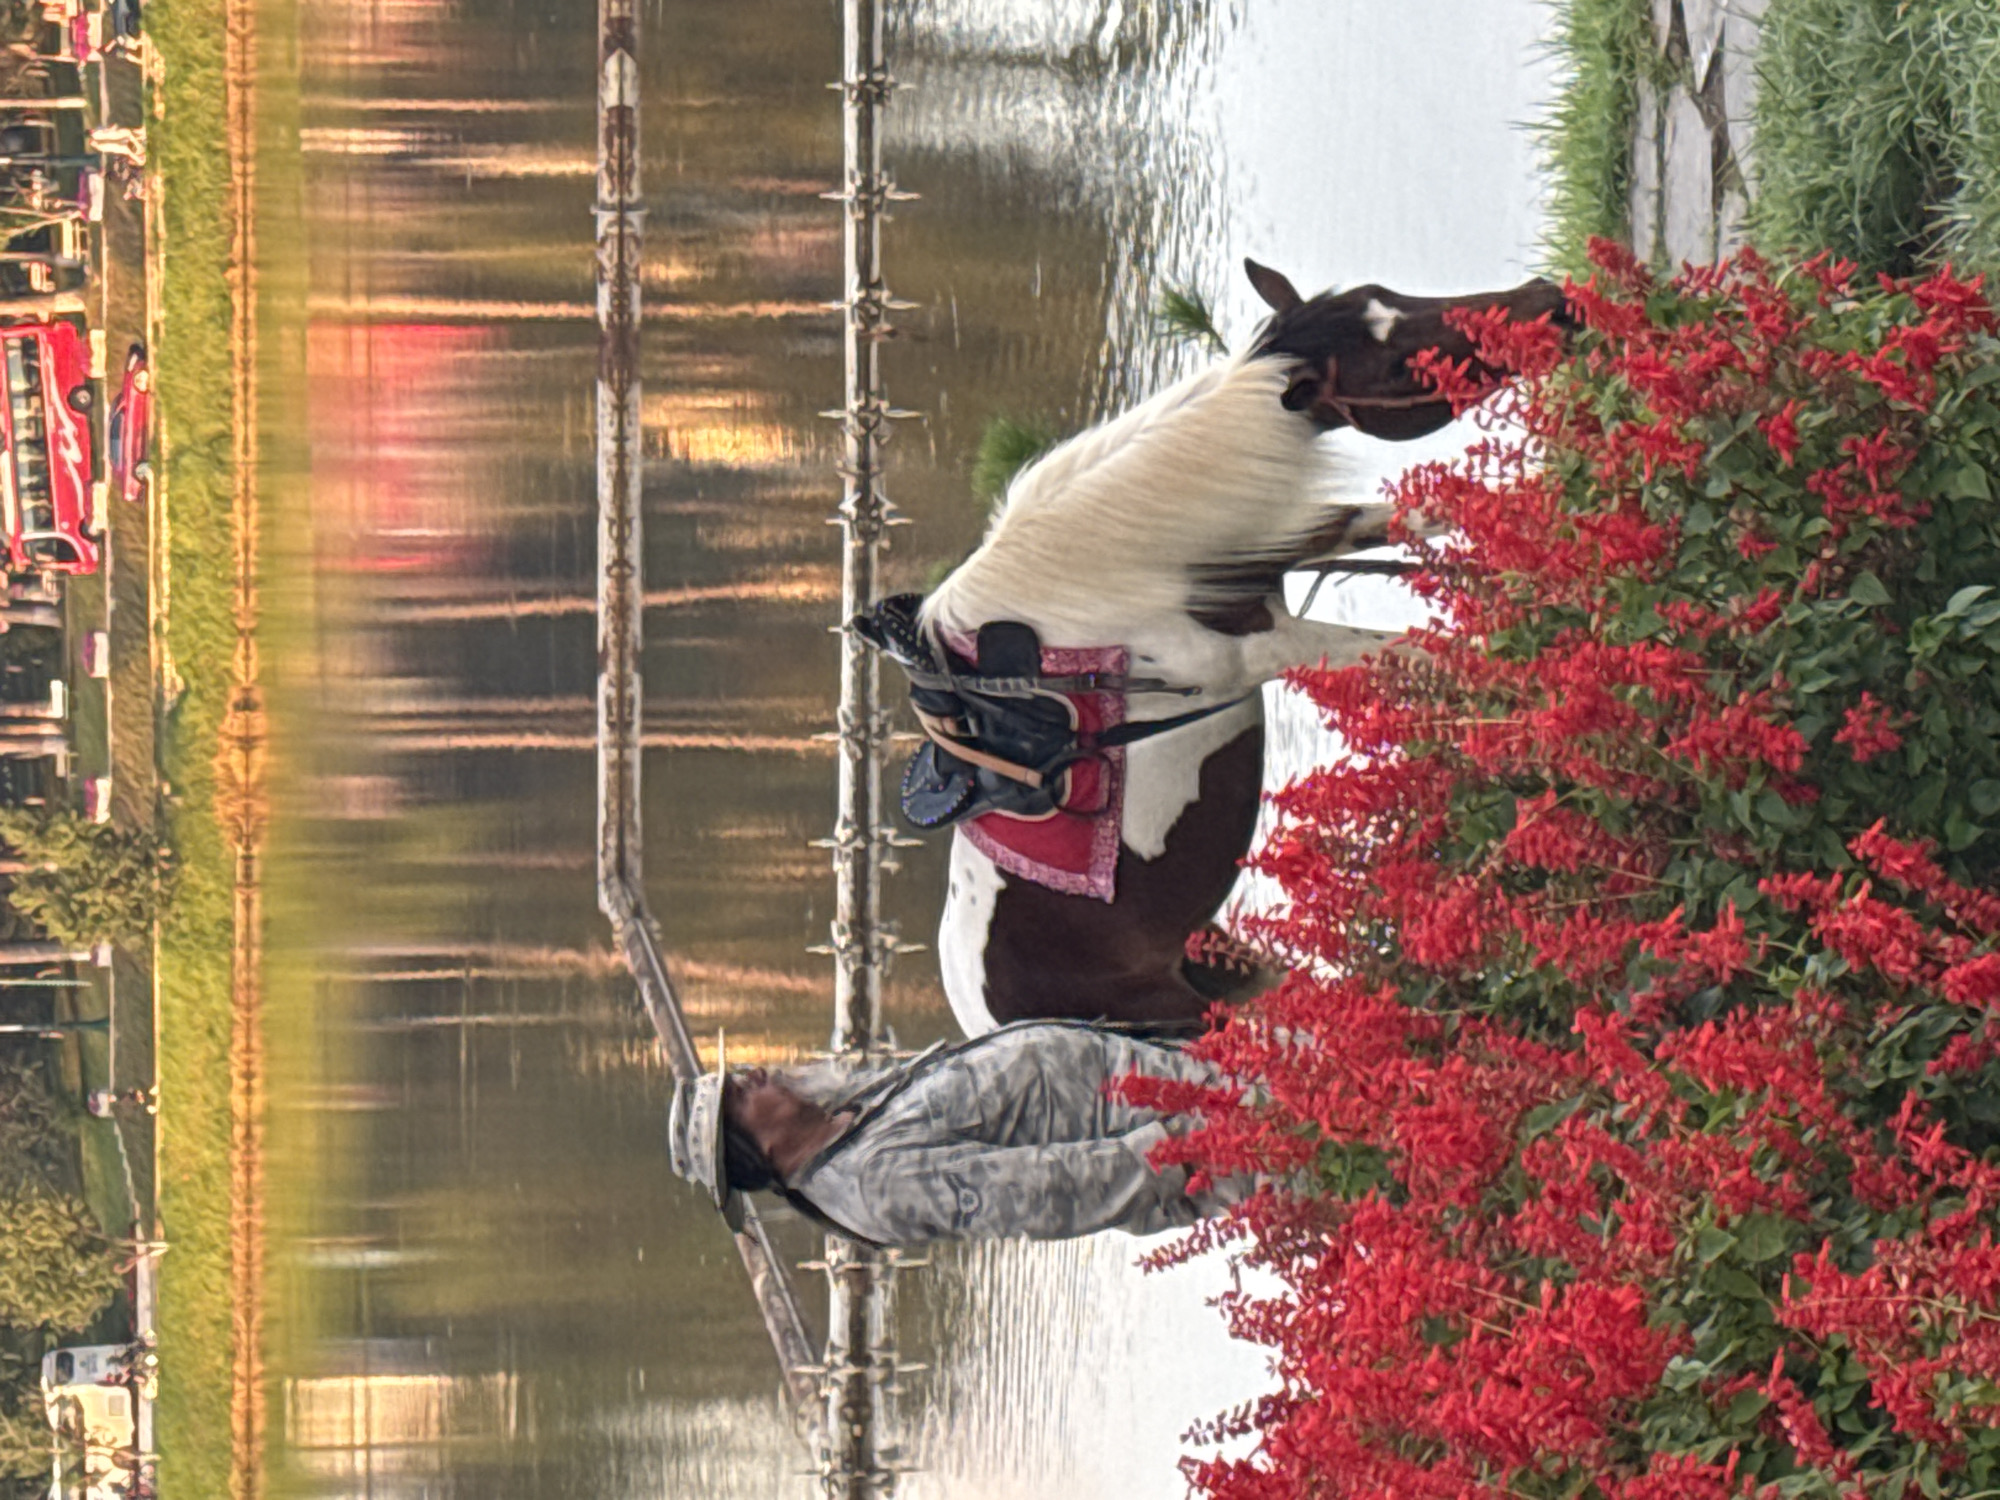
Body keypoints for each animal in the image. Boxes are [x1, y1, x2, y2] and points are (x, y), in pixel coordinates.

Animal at [904, 260, 1568, 1036]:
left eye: (1389, 298)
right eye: (1395, 363)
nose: (1550, 301)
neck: (1109, 573)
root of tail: (983, 1017)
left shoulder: (1273, 552)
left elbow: (1412, 519)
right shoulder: (1262, 651)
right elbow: (1422, 650)